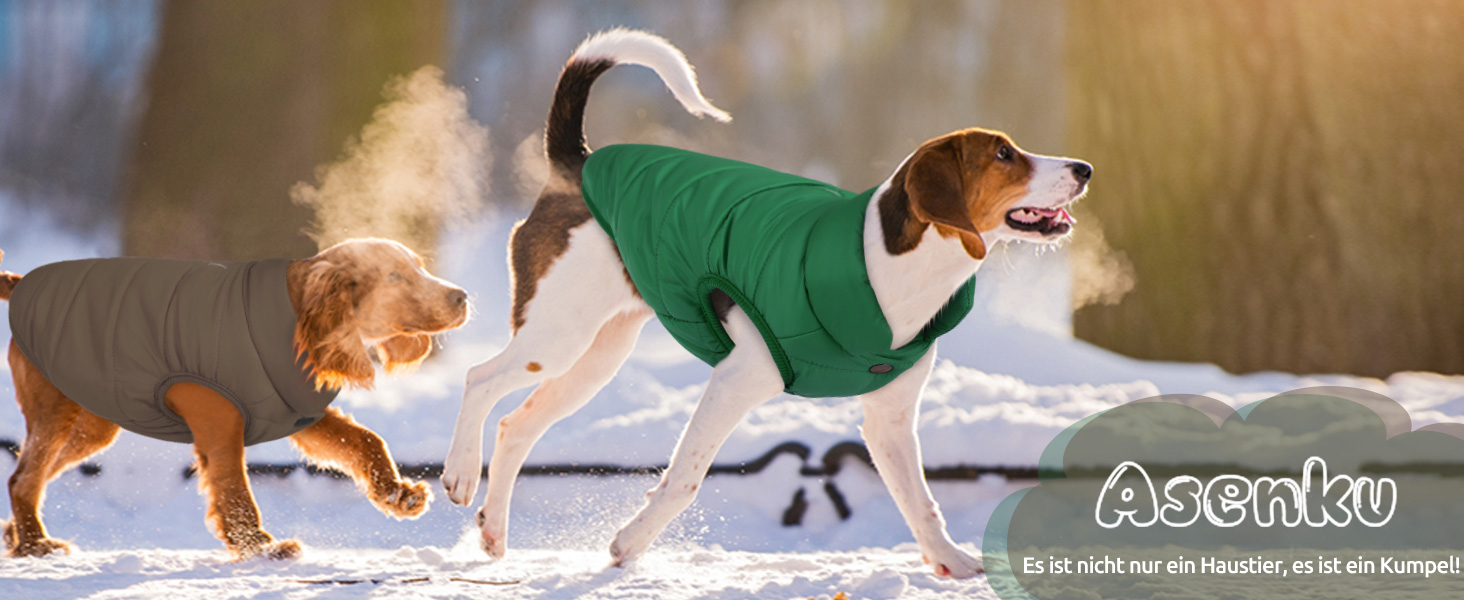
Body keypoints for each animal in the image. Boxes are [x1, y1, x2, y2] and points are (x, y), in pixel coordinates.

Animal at [1, 238, 468, 559]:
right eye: (395, 277)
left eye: (419, 267)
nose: (462, 296)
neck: (295, 317)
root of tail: (22, 283)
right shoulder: (219, 420)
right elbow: (234, 488)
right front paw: (260, 548)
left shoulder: (296, 411)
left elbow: (365, 440)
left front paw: (397, 494)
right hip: (57, 411)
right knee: (23, 477)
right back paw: (35, 544)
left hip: (95, 423)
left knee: (32, 475)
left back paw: (14, 533)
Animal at [433, 26, 1089, 576]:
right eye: (1003, 155)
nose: (1083, 167)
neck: (891, 266)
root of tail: (579, 163)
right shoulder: (735, 380)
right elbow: (684, 480)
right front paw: (628, 544)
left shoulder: (890, 420)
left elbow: (920, 499)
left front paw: (951, 561)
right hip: (557, 336)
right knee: (479, 379)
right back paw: (460, 472)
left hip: (594, 359)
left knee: (516, 426)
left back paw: (493, 531)